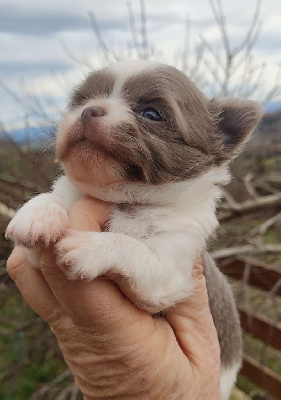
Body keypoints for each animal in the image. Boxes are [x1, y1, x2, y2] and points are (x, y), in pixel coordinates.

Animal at [6, 60, 262, 400]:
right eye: (80, 100)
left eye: (151, 114)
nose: (89, 110)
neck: (124, 199)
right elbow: (54, 200)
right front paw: (37, 214)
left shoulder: (169, 275)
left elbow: (133, 247)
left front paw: (91, 248)